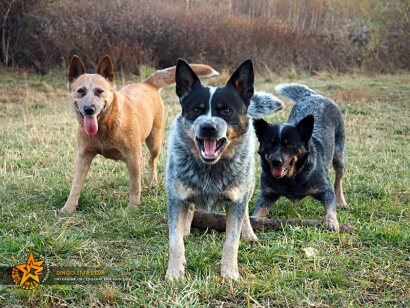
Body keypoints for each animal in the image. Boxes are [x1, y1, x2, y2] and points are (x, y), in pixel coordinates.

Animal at [165, 59, 284, 280]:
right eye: (197, 109)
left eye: (226, 110)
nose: (208, 127)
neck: (210, 169)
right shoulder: (175, 198)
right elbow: (175, 241)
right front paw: (175, 273)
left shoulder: (236, 200)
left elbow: (232, 241)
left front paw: (230, 273)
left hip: (249, 185)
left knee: (245, 213)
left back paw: (249, 234)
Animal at [253, 83, 346, 231]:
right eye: (270, 144)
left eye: (289, 144)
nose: (276, 161)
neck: (291, 178)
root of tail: (313, 95)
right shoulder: (267, 194)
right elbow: (258, 211)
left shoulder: (325, 189)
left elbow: (330, 206)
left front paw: (331, 221)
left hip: (339, 153)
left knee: (339, 178)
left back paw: (341, 201)